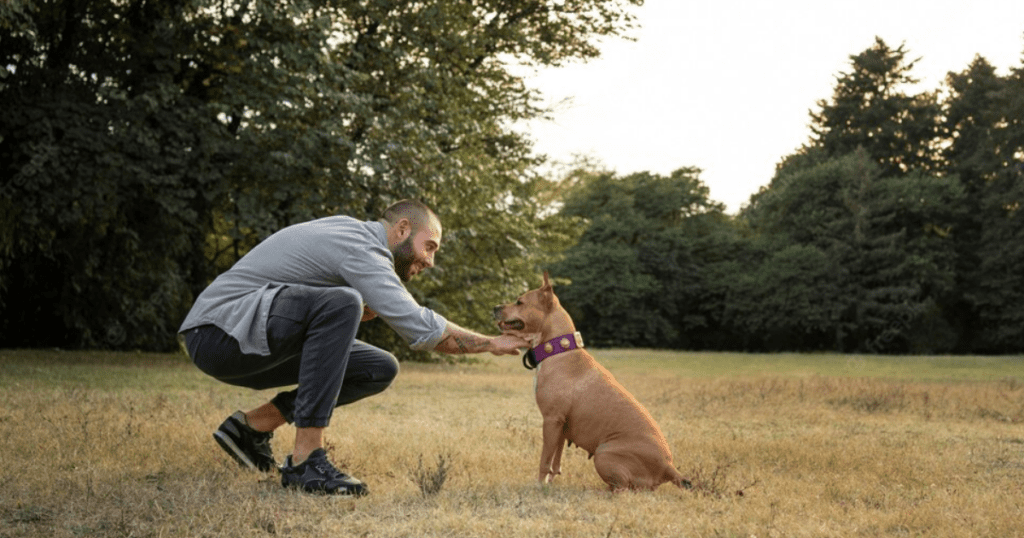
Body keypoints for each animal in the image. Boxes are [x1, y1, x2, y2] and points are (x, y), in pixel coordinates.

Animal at [493, 272, 692, 489]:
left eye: (519, 302)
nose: (495, 307)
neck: (558, 350)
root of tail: (668, 467)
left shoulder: (551, 420)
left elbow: (544, 461)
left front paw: (539, 486)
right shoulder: (561, 426)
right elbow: (555, 460)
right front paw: (550, 483)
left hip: (603, 453)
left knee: (623, 488)